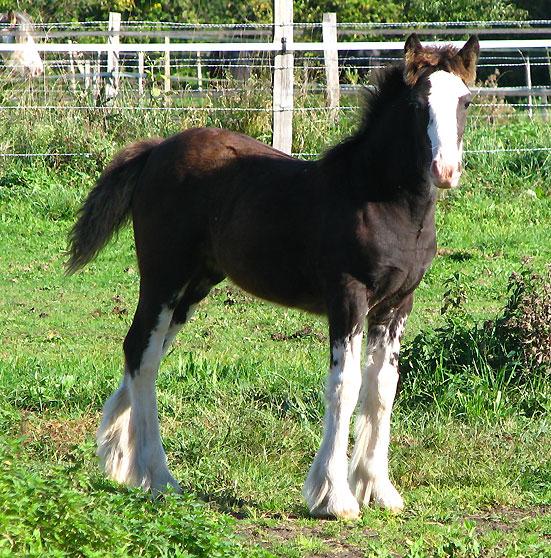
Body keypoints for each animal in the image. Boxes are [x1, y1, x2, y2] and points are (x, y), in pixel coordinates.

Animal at [66, 32, 478, 520]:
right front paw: (334, 497)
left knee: (145, 352)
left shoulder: (397, 304)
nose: (445, 171)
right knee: (142, 355)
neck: (383, 201)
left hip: (196, 284)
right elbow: (346, 386)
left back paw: (119, 457)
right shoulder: (348, 296)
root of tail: (155, 151)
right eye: (417, 105)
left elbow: (382, 389)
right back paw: (159, 477)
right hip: (164, 276)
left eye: (466, 101)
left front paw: (378, 489)